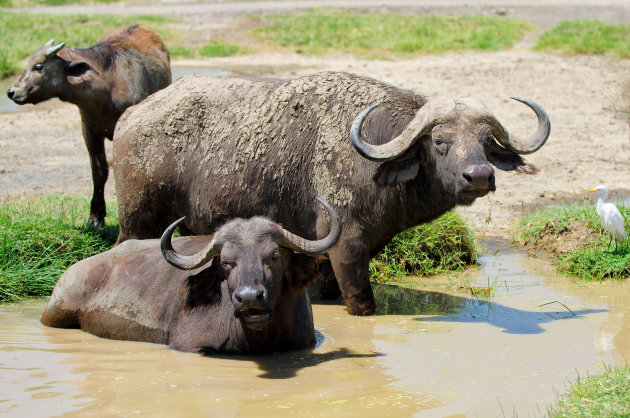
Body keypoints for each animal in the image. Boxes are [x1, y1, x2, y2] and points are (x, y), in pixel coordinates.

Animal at [6, 25, 173, 229]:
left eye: (39, 66)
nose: (11, 91)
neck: (107, 86)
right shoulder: (89, 129)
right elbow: (100, 170)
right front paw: (95, 216)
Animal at [113, 72, 552, 316]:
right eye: (440, 141)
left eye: (486, 141)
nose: (478, 176)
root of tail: (130, 118)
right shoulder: (347, 246)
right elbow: (363, 303)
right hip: (138, 219)